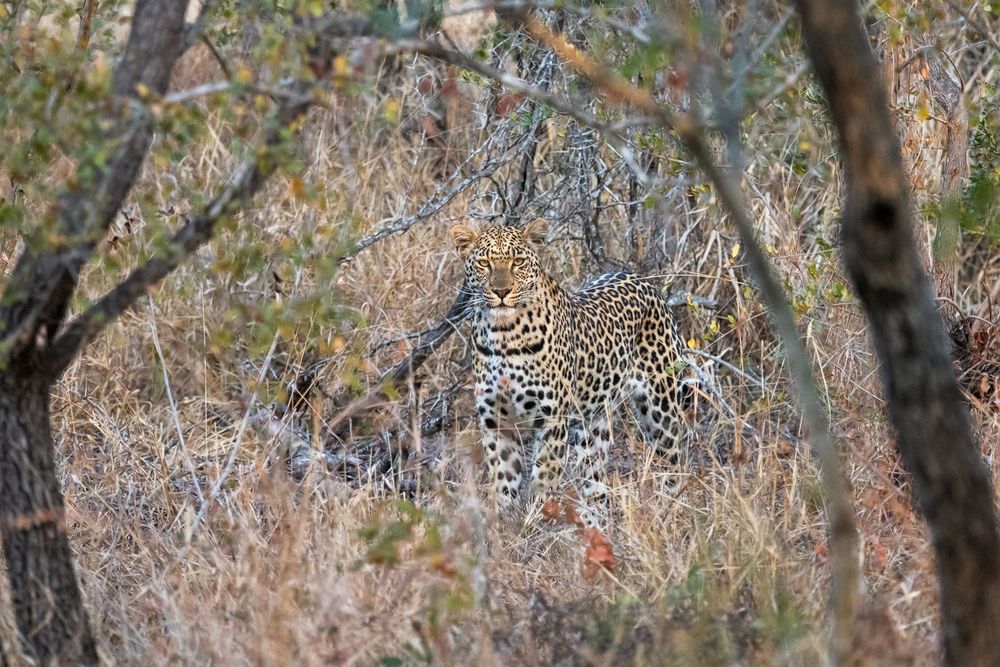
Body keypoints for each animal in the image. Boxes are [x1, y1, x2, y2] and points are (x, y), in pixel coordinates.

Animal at [452, 217, 692, 508]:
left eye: (518, 262)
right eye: (484, 262)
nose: (501, 291)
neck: (503, 334)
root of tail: (640, 278)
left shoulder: (552, 419)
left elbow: (543, 481)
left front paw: (538, 517)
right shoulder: (496, 421)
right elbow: (503, 483)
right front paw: (502, 517)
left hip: (661, 408)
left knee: (674, 461)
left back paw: (674, 505)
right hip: (593, 425)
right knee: (596, 482)